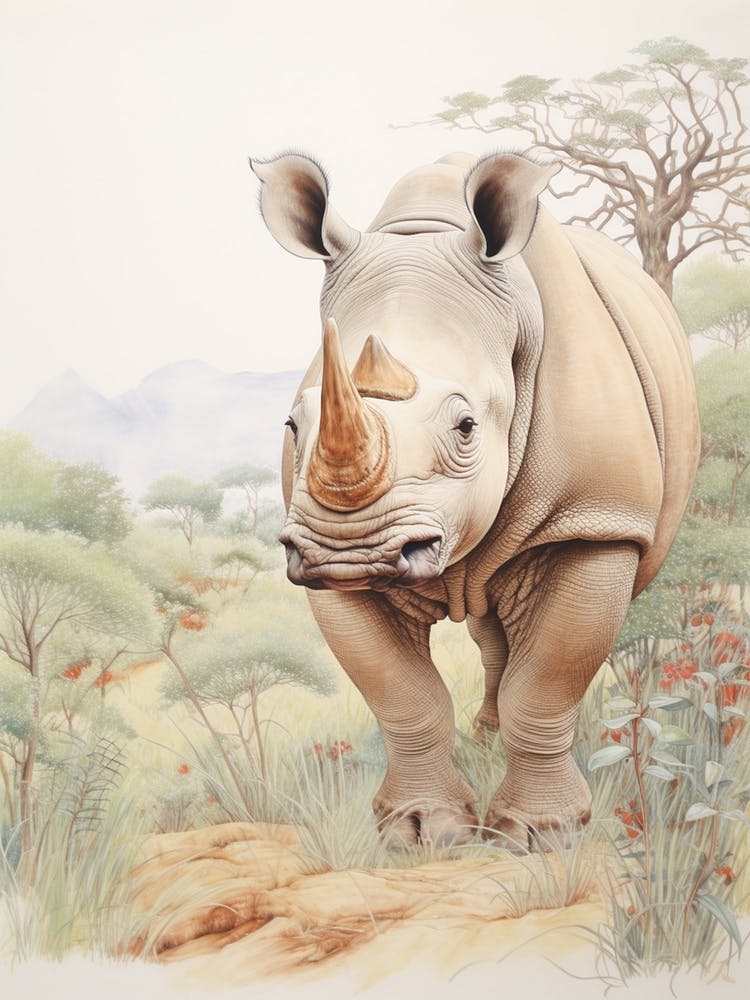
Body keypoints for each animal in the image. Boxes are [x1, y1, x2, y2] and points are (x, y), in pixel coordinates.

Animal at [250, 150, 700, 849]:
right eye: (293, 426)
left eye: (466, 427)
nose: (349, 552)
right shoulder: (314, 555)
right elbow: (403, 696)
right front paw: (419, 830)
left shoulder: (594, 520)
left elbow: (545, 686)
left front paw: (540, 835)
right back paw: (484, 738)